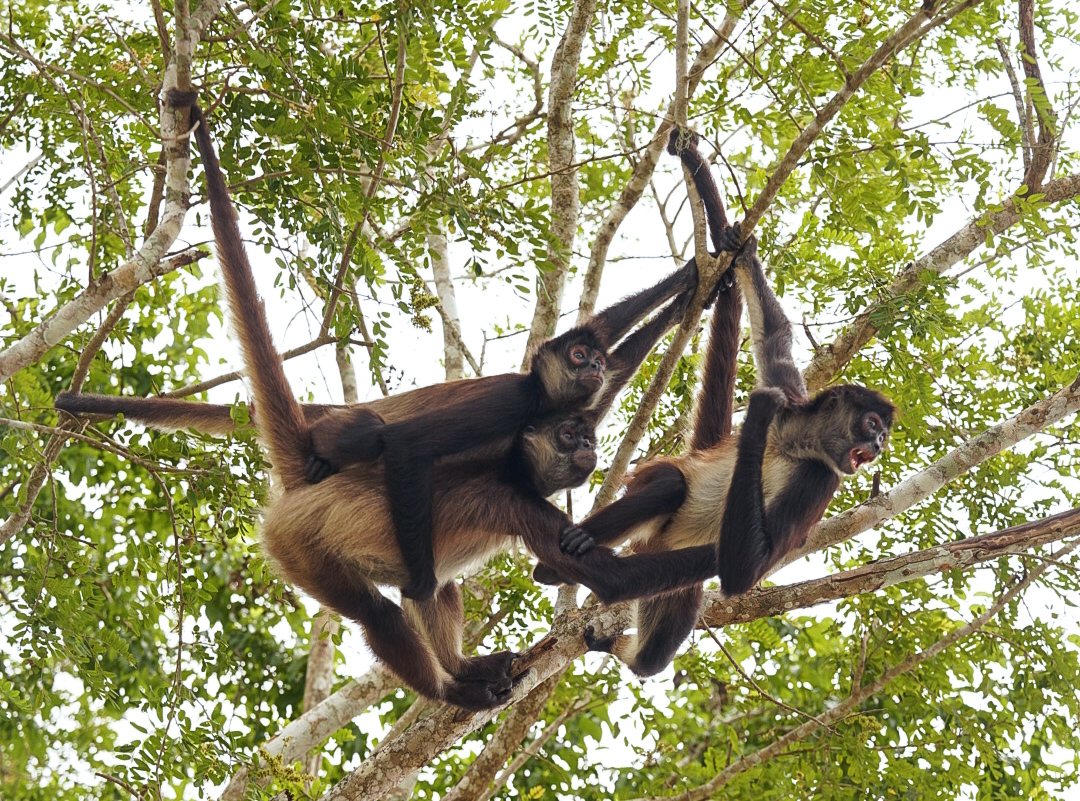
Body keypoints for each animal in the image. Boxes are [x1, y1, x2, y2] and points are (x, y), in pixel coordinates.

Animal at [133, 95, 723, 709]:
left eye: (586, 436)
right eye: (570, 438)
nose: (586, 444)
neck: (514, 466)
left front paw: (695, 280)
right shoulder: (518, 485)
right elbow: (605, 577)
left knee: (440, 590)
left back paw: (462, 668)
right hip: (301, 545)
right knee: (381, 609)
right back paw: (451, 690)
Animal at [535, 130, 895, 677]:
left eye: (882, 434)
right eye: (872, 425)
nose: (876, 445)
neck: (794, 445)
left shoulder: (822, 479)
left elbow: (747, 572)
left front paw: (755, 422)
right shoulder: (793, 394)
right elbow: (771, 327)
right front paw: (724, 224)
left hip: (677, 585)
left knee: (653, 657)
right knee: (668, 486)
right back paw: (562, 562)